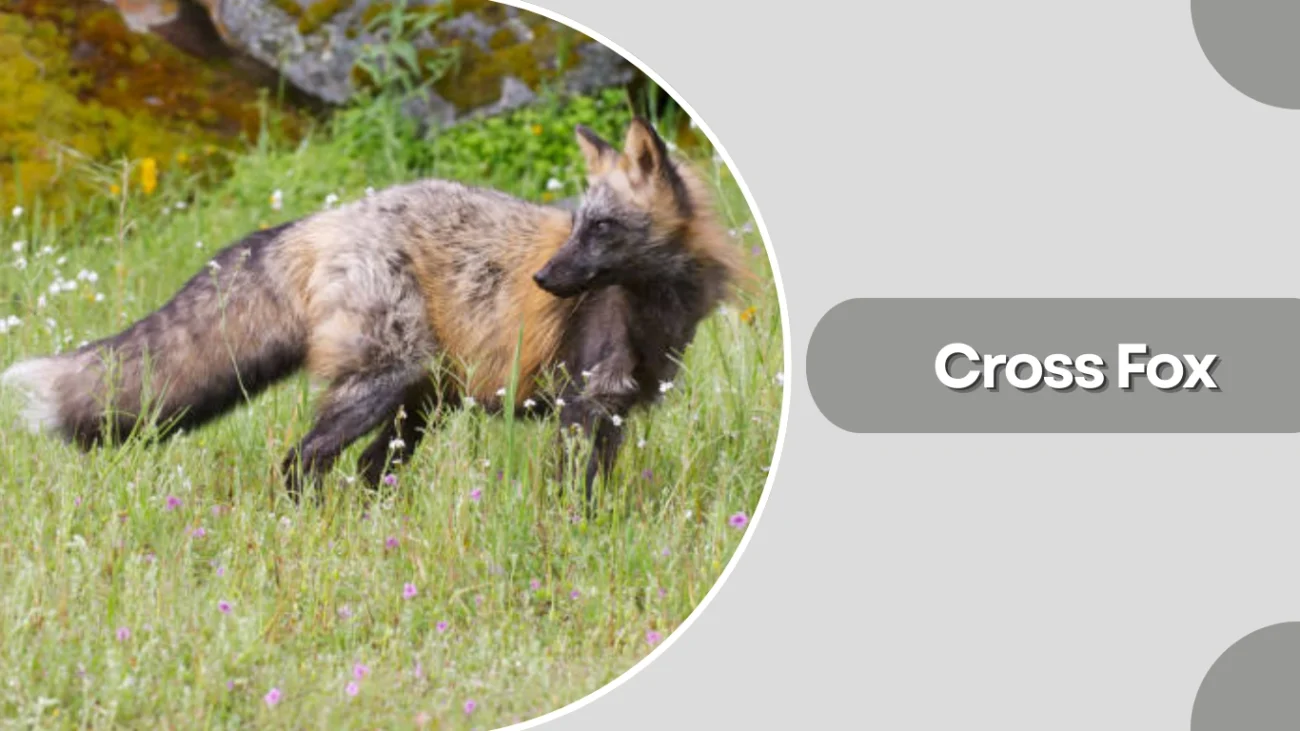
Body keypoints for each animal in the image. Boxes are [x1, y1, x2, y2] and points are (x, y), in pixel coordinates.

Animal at [0, 118, 749, 502]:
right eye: (579, 226)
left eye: (601, 228)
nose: (542, 277)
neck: (653, 308)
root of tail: (324, 219)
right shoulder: (582, 402)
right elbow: (571, 494)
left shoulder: (615, 410)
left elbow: (596, 489)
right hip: (383, 386)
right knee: (299, 462)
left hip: (417, 407)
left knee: (363, 472)